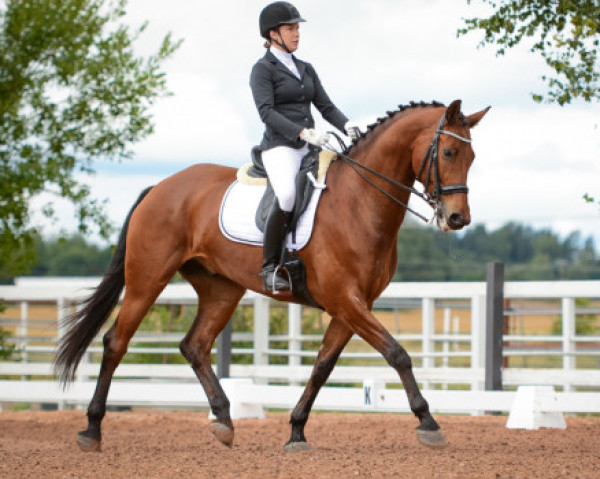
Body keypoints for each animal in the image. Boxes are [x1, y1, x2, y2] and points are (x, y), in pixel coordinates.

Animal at [55, 99, 488, 452]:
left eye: (471, 157)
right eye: (448, 151)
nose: (457, 219)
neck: (361, 203)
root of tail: (160, 186)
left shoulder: (352, 305)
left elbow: (322, 367)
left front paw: (296, 431)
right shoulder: (345, 300)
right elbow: (397, 354)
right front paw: (428, 423)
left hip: (221, 289)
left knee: (194, 346)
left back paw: (224, 422)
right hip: (147, 279)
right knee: (116, 342)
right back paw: (91, 430)